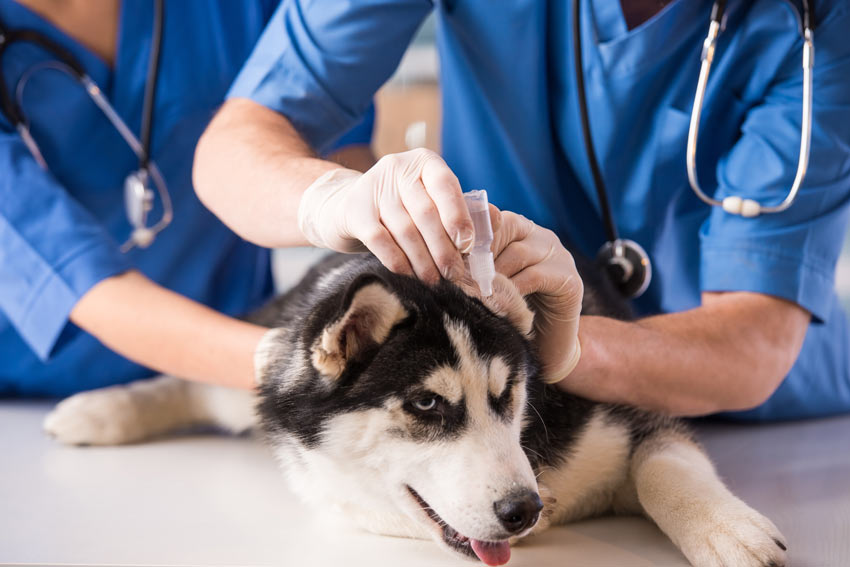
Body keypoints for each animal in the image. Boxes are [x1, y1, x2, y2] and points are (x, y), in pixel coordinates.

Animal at [44, 254, 788, 567]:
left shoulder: (626, 412)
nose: (523, 509)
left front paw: (728, 531)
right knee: (204, 375)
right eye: (427, 403)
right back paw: (96, 408)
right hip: (259, 365)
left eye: (508, 395)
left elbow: (665, 465)